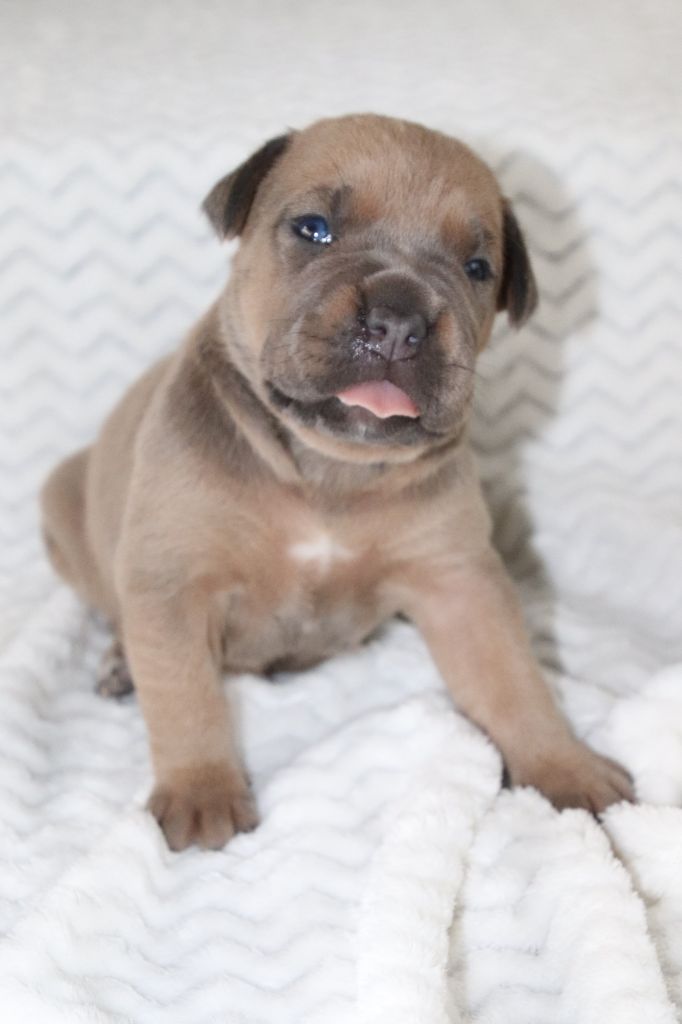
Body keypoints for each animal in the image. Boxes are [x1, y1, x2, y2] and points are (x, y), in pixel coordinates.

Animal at [38, 116, 630, 847]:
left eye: (477, 268)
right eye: (314, 229)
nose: (400, 320)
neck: (332, 470)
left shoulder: (460, 582)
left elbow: (514, 679)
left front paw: (564, 765)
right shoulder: (174, 580)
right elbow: (183, 694)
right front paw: (201, 791)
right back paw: (120, 661)